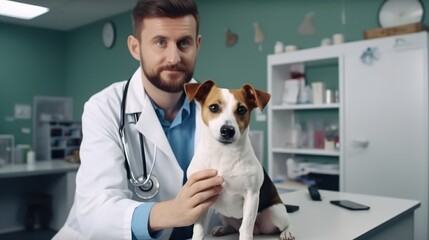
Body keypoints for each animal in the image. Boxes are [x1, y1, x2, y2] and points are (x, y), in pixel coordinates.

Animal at [184, 80, 294, 240]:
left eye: (242, 109)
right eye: (213, 107)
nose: (227, 130)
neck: (223, 154)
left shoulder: (251, 195)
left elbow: (246, 228)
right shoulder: (201, 196)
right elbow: (199, 229)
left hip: (275, 213)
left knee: (284, 222)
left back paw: (287, 231)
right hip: (224, 215)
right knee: (233, 226)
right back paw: (223, 228)